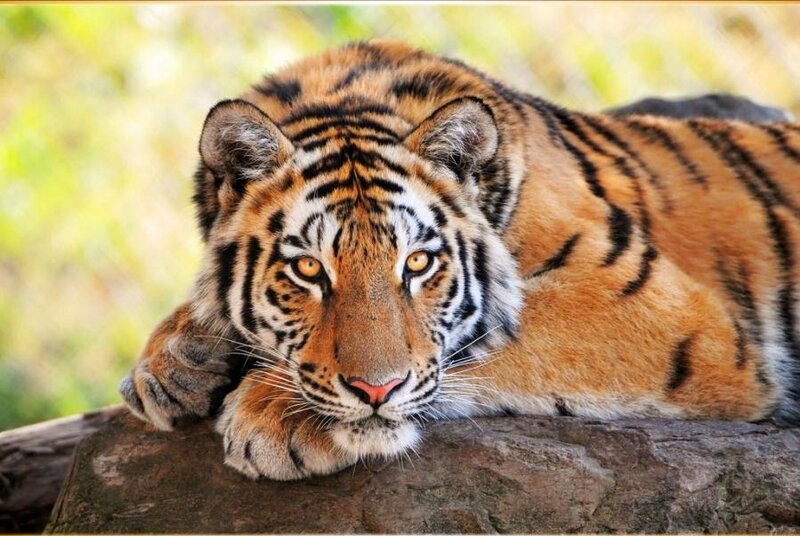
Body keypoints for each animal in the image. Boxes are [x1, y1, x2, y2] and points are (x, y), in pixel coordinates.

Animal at [118, 40, 800, 480]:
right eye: (309, 270)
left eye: (418, 264)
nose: (376, 390)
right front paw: (174, 362)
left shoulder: (661, 309)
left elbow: (485, 341)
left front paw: (274, 414)